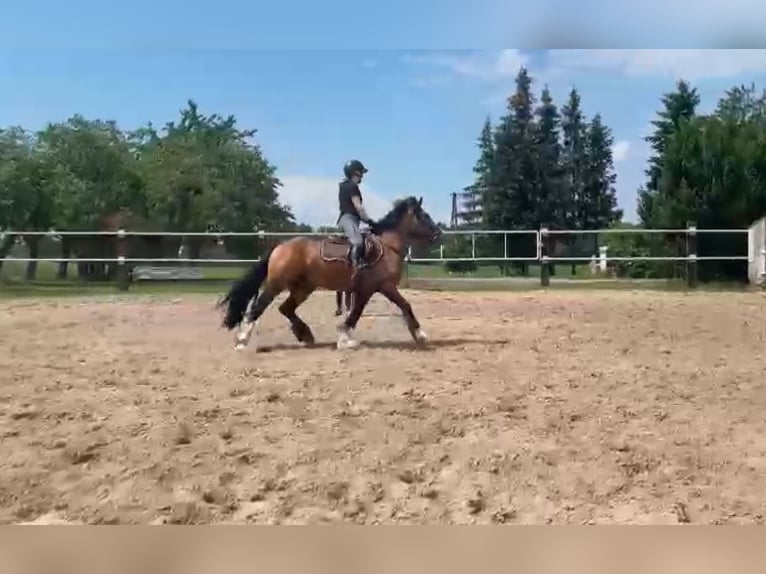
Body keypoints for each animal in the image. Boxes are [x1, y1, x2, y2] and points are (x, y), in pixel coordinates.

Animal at [216, 197, 444, 352]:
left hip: (303, 288)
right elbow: (373, 310)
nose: (438, 233)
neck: (387, 246)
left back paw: (305, 335)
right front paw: (345, 339)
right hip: (276, 285)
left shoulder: (373, 288)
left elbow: (393, 307)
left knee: (285, 308)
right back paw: (242, 341)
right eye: (424, 216)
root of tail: (280, 246)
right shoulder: (380, 286)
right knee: (257, 308)